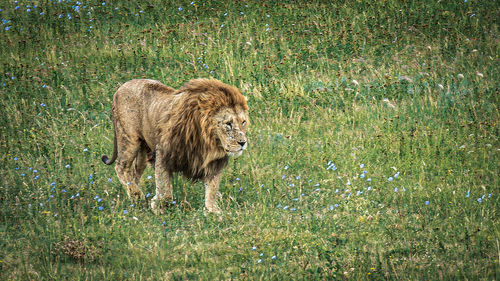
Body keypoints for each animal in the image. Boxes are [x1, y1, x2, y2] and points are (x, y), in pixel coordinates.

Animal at [100, 77, 249, 213]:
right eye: (228, 123)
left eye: (243, 122)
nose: (243, 143)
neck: (209, 141)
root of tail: (121, 87)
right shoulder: (163, 153)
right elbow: (164, 187)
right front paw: (159, 207)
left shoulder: (214, 162)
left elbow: (212, 189)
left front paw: (213, 211)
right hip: (128, 139)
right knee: (121, 167)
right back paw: (138, 196)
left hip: (142, 150)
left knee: (134, 173)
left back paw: (134, 197)